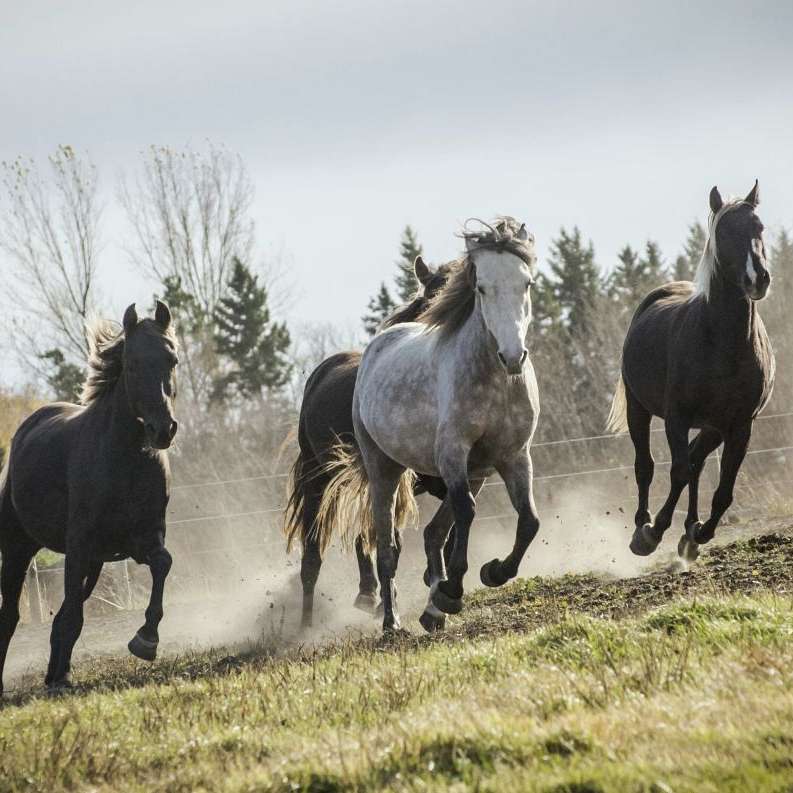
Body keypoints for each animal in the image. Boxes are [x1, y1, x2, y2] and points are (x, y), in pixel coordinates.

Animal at [0, 300, 179, 688]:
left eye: (172, 360)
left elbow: (163, 563)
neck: (125, 458)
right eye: (132, 363)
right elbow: (71, 616)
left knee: (61, 616)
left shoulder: (140, 540)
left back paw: (58, 672)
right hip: (19, 548)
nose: (163, 430)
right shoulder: (80, 545)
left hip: (94, 562)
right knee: (11, 616)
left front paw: (146, 640)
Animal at [284, 256, 452, 628]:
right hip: (319, 479)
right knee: (313, 555)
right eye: (430, 297)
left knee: (366, 532)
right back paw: (307, 623)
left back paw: (370, 596)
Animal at [314, 217, 540, 632]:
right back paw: (392, 622)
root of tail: (378, 344)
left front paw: (492, 573)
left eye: (527, 283)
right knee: (387, 548)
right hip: (384, 469)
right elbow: (466, 513)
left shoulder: (514, 456)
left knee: (435, 531)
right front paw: (451, 593)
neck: (493, 382)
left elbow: (529, 521)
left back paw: (430, 606)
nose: (513, 356)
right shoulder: (453, 454)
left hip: (475, 471)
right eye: (482, 287)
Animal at [608, 182, 772, 560]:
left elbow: (723, 490)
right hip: (639, 409)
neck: (723, 344)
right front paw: (652, 533)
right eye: (724, 232)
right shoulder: (677, 418)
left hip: (712, 428)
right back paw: (642, 526)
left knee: (697, 463)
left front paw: (700, 533)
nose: (757, 279)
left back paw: (688, 531)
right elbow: (677, 471)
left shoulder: (739, 426)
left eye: (759, 227)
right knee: (646, 466)